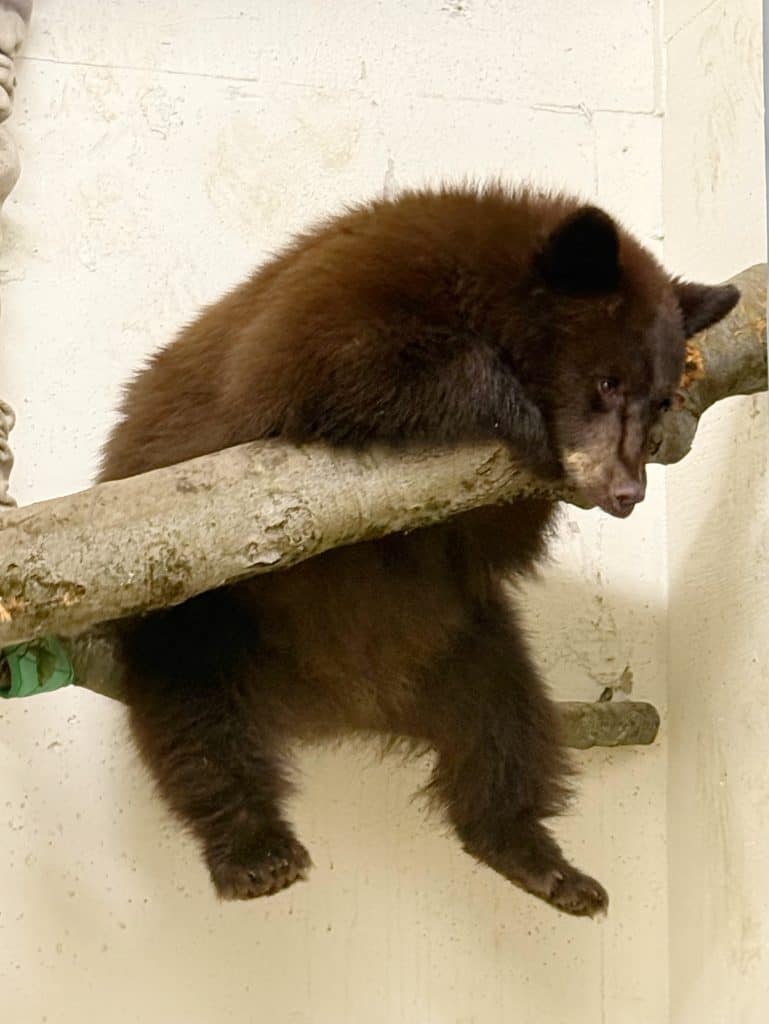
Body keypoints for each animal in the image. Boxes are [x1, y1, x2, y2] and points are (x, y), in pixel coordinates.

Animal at [98, 185, 739, 917]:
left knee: (508, 727)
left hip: (465, 644)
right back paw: (256, 853)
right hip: (206, 620)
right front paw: (518, 413)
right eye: (605, 381)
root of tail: (342, 706)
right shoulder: (349, 290)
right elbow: (332, 362)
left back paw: (542, 864)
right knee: (196, 724)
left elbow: (487, 540)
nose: (626, 490)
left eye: (660, 397)